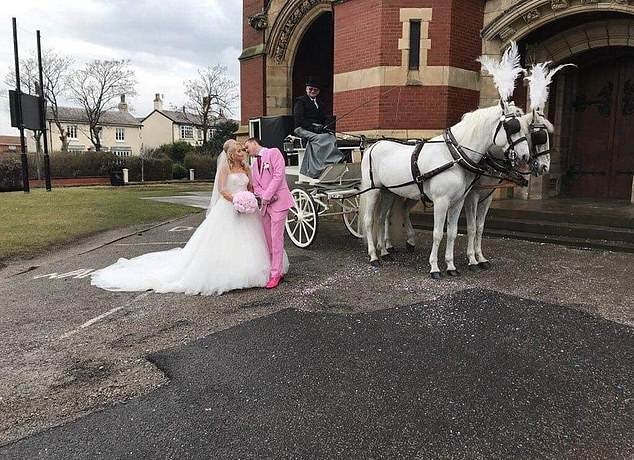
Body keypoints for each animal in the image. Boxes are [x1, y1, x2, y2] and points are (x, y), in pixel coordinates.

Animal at [360, 102, 528, 278]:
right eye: (512, 127)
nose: (525, 156)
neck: (454, 156)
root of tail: (373, 145)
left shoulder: (459, 201)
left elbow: (453, 232)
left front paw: (451, 266)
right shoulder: (442, 201)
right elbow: (438, 233)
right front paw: (435, 267)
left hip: (388, 192)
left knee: (381, 218)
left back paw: (385, 252)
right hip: (372, 191)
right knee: (369, 220)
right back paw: (374, 256)